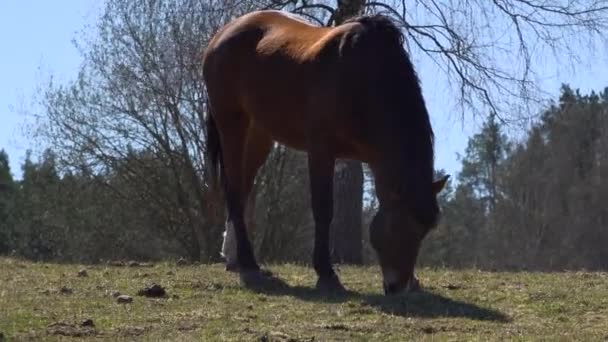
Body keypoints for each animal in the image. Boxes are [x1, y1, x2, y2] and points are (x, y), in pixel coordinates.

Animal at [202, 9, 448, 296]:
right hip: (232, 125)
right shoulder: (321, 150)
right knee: (233, 189)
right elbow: (324, 208)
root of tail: (223, 33)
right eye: (399, 226)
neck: (364, 77)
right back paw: (248, 261)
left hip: (258, 133)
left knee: (242, 189)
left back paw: (234, 258)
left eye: (423, 232)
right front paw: (326, 273)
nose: (398, 287)